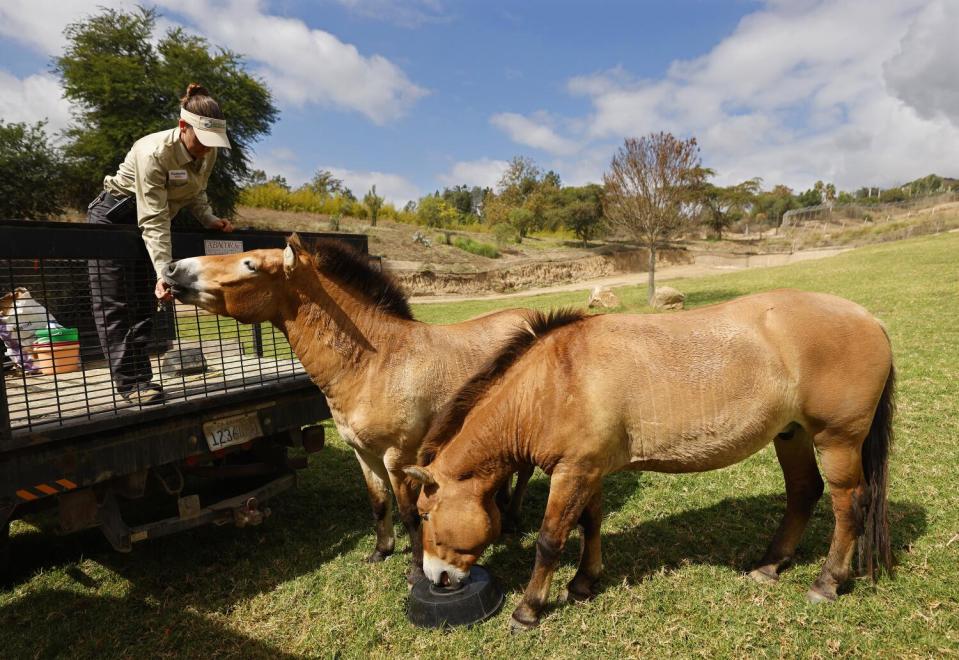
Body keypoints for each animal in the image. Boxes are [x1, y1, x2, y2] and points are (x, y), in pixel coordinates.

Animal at [167, 235, 540, 580]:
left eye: (250, 265)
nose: (172, 270)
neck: (375, 362)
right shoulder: (364, 453)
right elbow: (379, 503)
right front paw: (381, 551)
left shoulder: (398, 458)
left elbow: (409, 513)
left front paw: (415, 571)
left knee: (523, 472)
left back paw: (513, 519)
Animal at [406, 292, 900, 632]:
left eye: (425, 514)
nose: (437, 577)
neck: (553, 381)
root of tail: (868, 319)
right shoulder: (588, 471)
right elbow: (590, 524)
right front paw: (583, 583)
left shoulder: (571, 472)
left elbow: (550, 540)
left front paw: (529, 609)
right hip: (792, 435)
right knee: (803, 493)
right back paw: (769, 565)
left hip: (838, 441)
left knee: (848, 507)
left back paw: (826, 582)